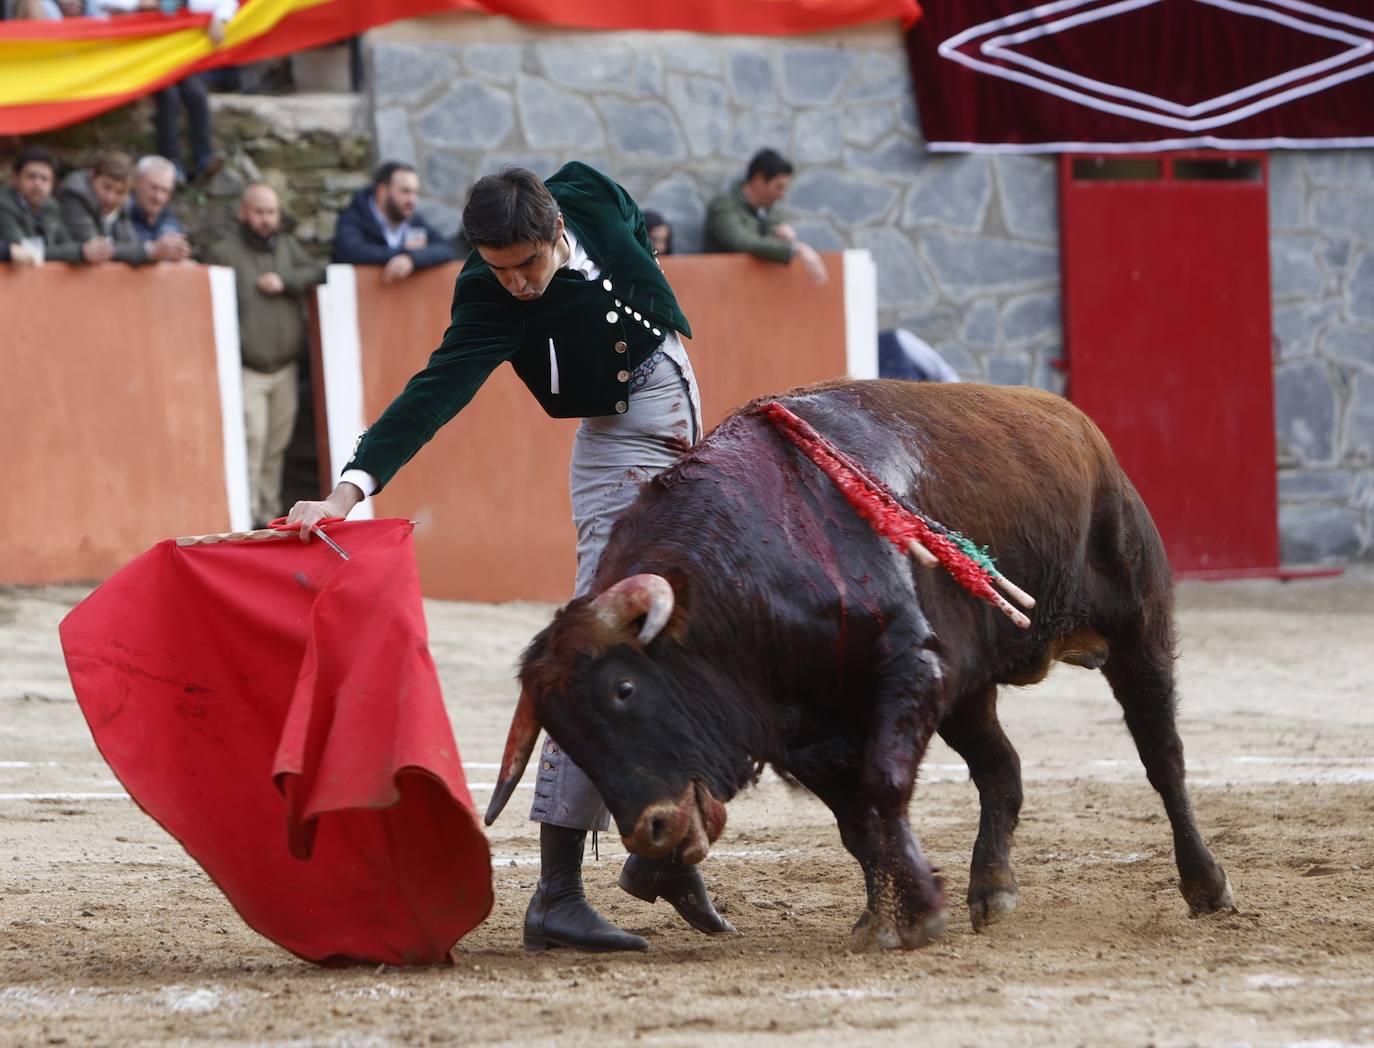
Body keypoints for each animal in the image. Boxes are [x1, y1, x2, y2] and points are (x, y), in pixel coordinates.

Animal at [483, 379, 1236, 950]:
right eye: (565, 734)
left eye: (625, 689)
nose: (652, 831)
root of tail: (1082, 429)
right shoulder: (809, 734)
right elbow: (857, 824)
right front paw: (884, 918)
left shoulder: (911, 671)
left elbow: (882, 786)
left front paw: (919, 912)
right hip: (971, 693)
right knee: (1002, 769)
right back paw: (991, 890)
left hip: (1138, 631)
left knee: (1162, 757)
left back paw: (1207, 886)